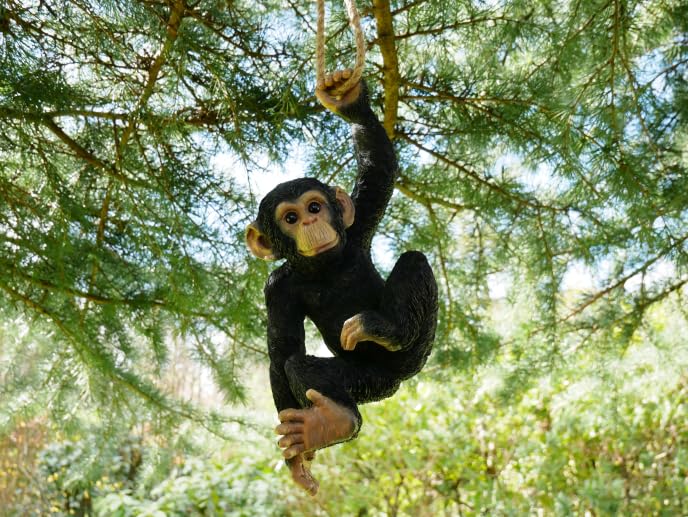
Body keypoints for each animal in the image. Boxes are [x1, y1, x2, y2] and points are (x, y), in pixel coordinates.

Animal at [245, 69, 438, 495]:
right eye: (290, 218)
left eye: (315, 206)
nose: (311, 221)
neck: (325, 268)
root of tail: (398, 380)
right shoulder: (276, 289)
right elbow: (281, 352)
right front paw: (296, 461)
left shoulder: (359, 222)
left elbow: (380, 168)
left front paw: (347, 100)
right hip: (368, 381)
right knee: (303, 367)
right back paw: (331, 422)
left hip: (415, 353)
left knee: (414, 262)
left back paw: (387, 327)